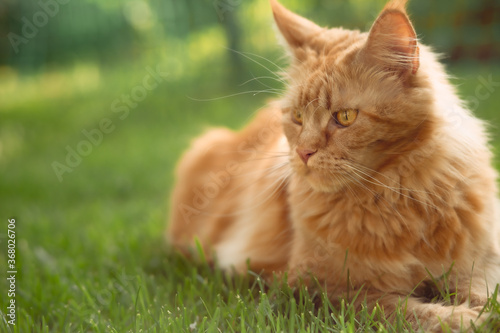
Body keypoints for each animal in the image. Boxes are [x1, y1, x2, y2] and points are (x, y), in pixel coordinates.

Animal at [169, 0, 500, 330]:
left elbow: (481, 292)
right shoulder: (316, 288)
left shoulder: (479, 263)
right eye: (298, 117)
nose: (303, 152)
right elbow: (405, 310)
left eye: (345, 117)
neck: (397, 198)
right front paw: (467, 319)